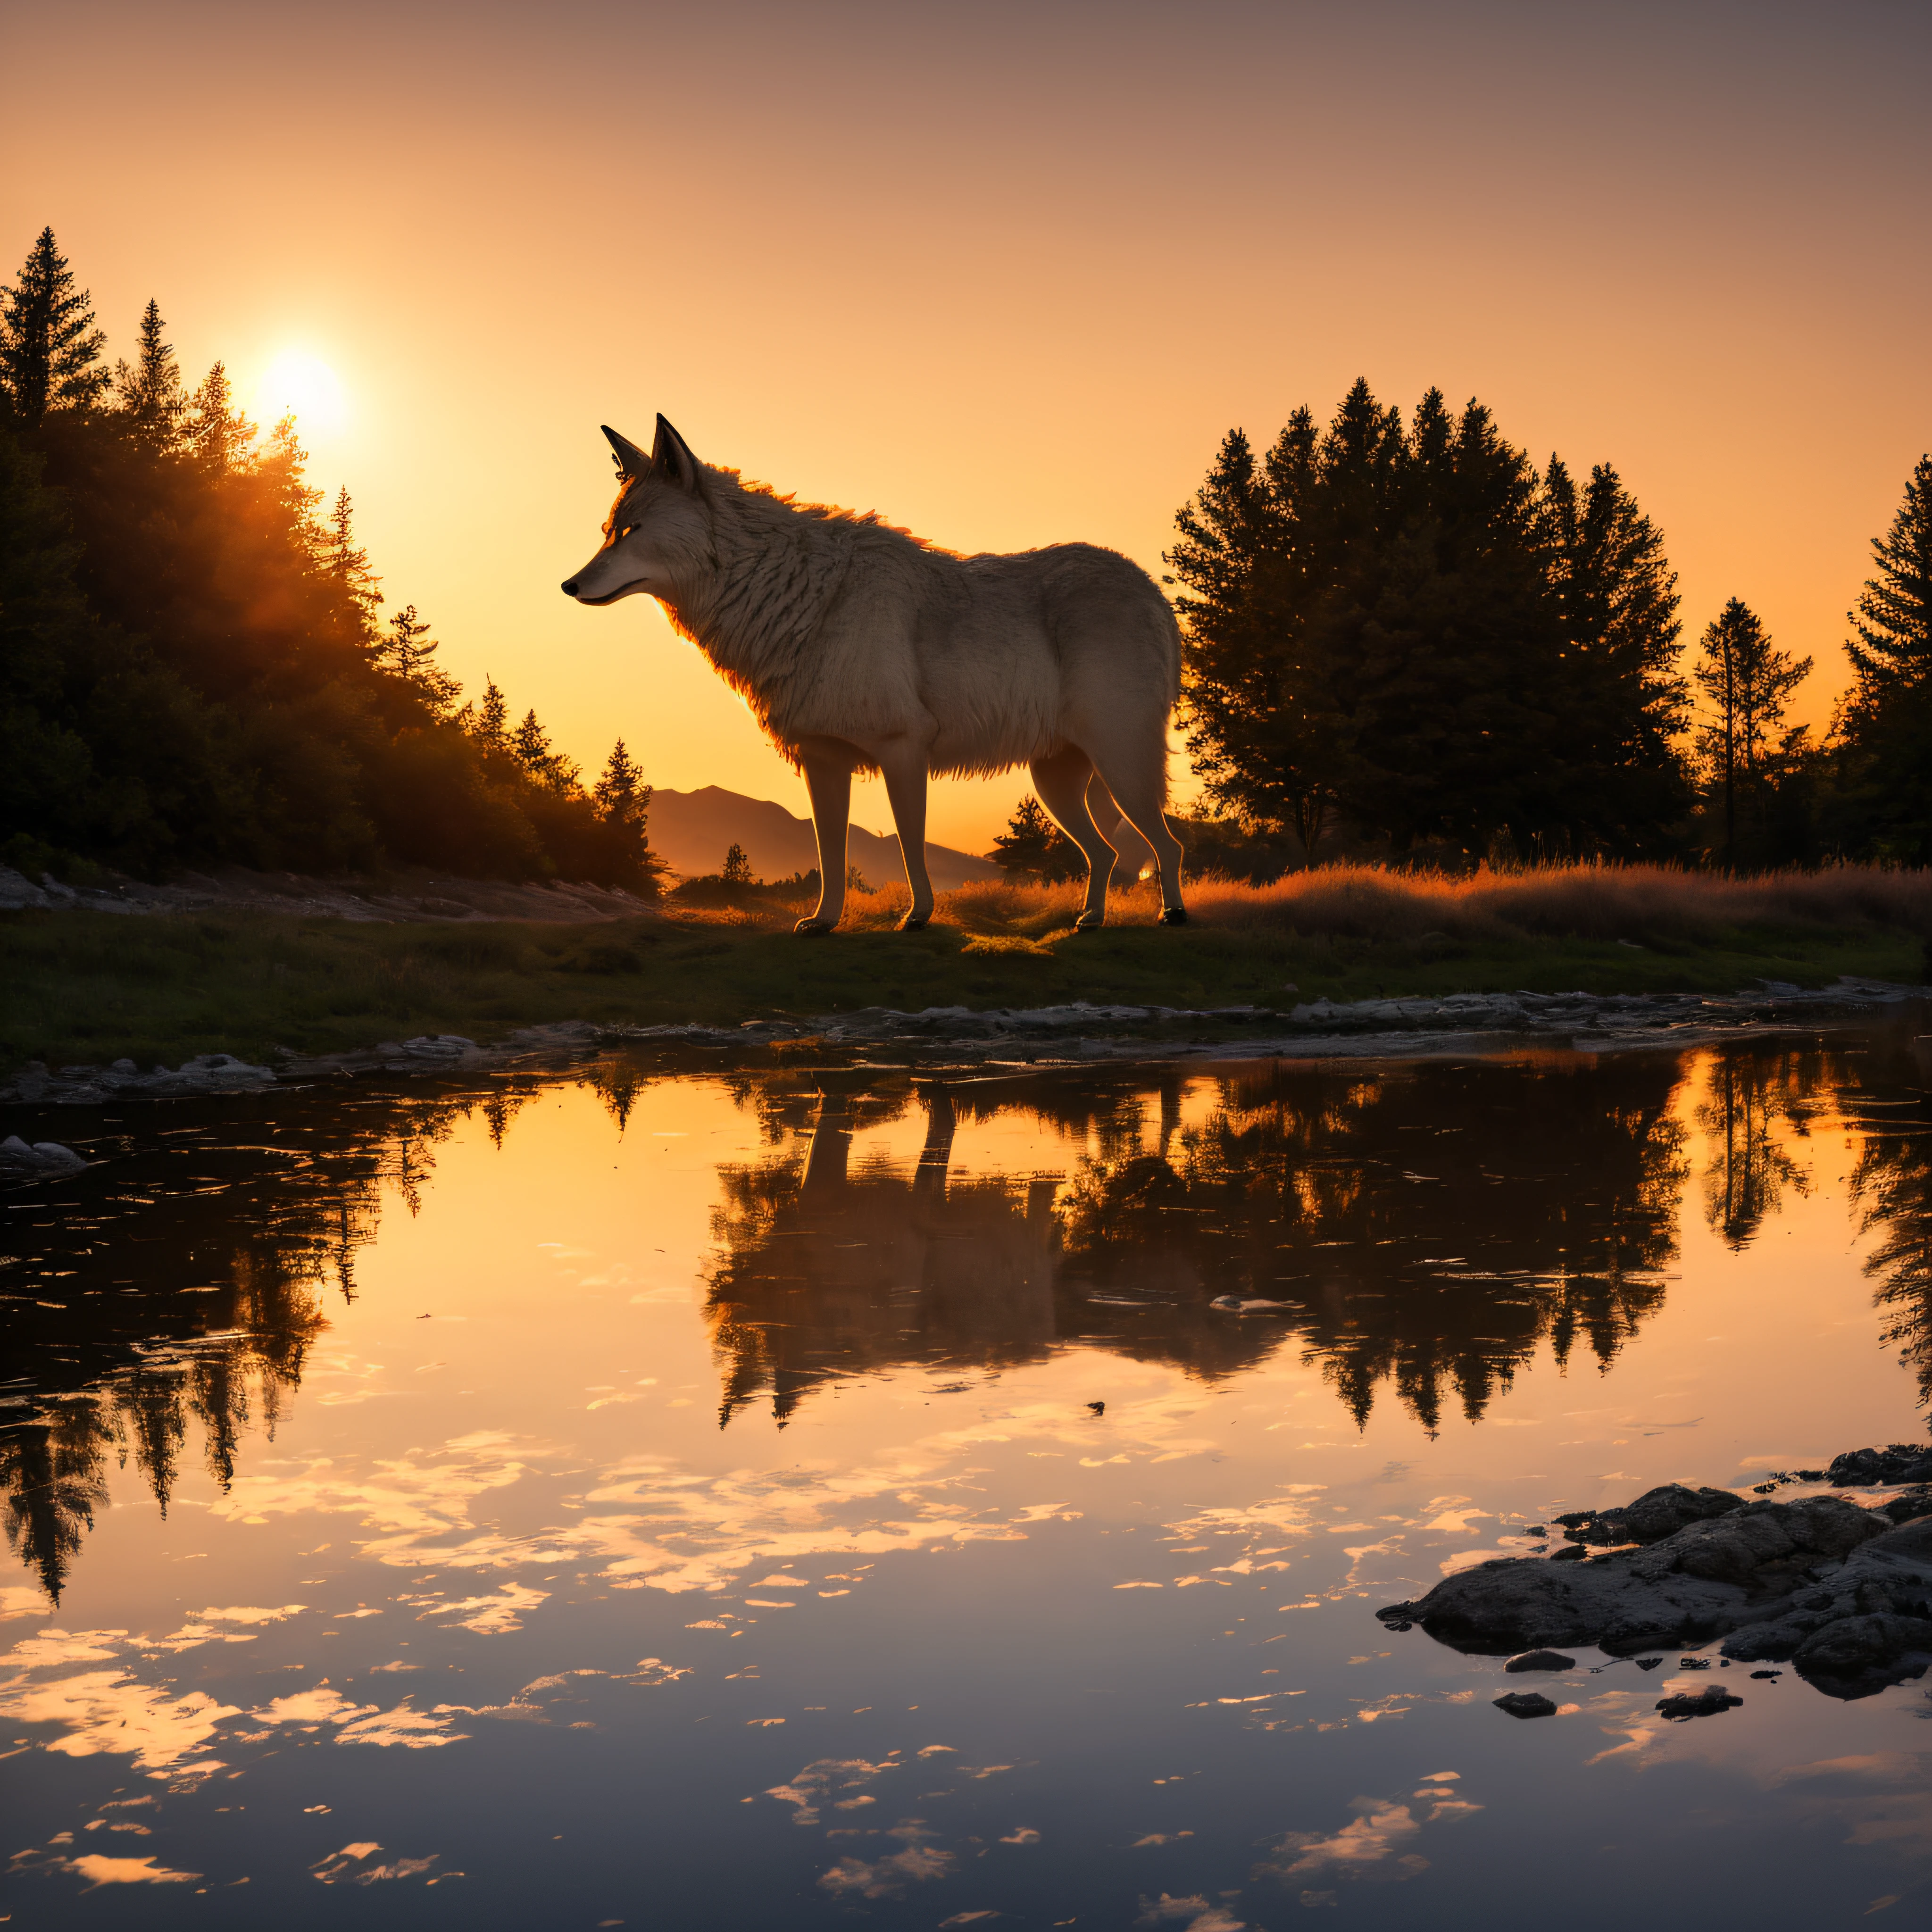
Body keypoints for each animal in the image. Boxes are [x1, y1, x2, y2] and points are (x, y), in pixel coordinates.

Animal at [560, 417, 1182, 935]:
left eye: (632, 531)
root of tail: (1151, 589)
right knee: (1106, 853)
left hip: (1120, 768)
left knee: (1166, 846)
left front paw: (918, 916)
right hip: (1055, 783)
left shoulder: (903, 748)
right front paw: (822, 922)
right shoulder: (821, 760)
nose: (569, 585)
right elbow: (830, 855)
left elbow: (909, 844)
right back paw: (1090, 920)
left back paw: (1172, 914)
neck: (797, 599)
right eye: (607, 530)